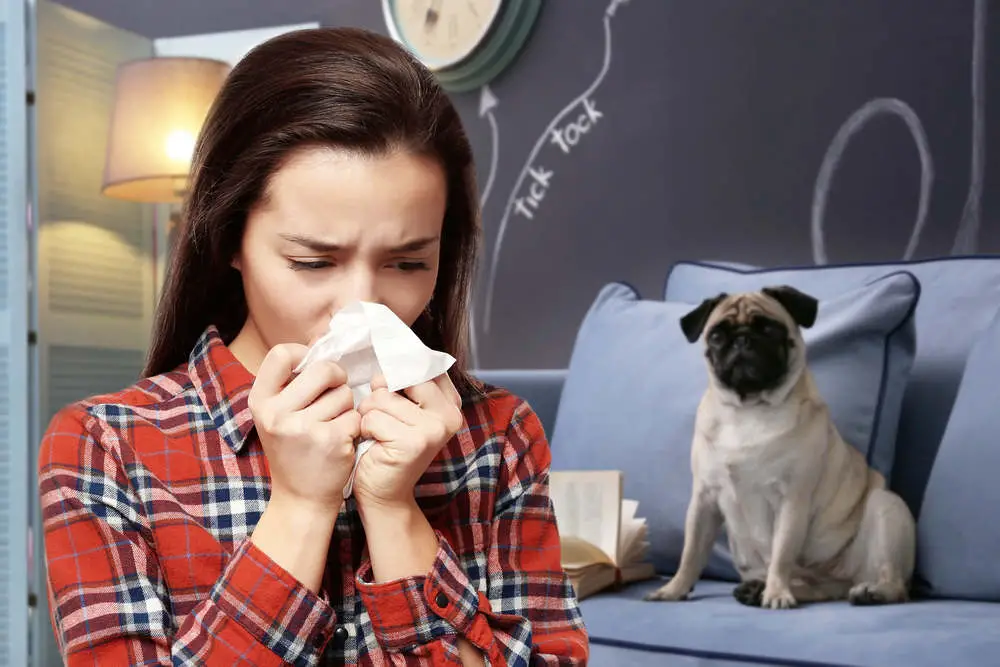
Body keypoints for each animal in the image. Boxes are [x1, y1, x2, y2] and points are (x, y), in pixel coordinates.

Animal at [648, 288, 916, 612]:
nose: (741, 339)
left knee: (894, 583)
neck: (748, 409)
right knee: (820, 589)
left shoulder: (791, 500)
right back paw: (757, 590)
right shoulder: (704, 499)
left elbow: (782, 553)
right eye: (717, 336)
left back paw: (871, 591)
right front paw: (674, 589)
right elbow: (690, 553)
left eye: (768, 329)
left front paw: (776, 593)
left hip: (886, 509)